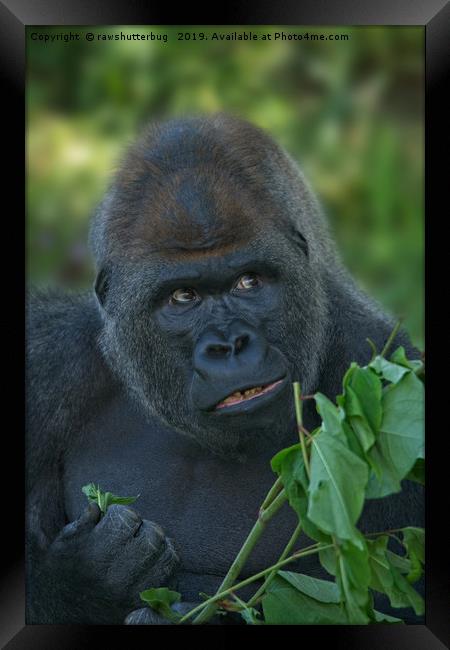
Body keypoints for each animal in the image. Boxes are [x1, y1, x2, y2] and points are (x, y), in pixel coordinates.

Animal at [26, 112, 424, 624]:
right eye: (183, 296)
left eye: (248, 281)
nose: (229, 346)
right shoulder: (47, 361)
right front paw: (82, 579)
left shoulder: (386, 380)